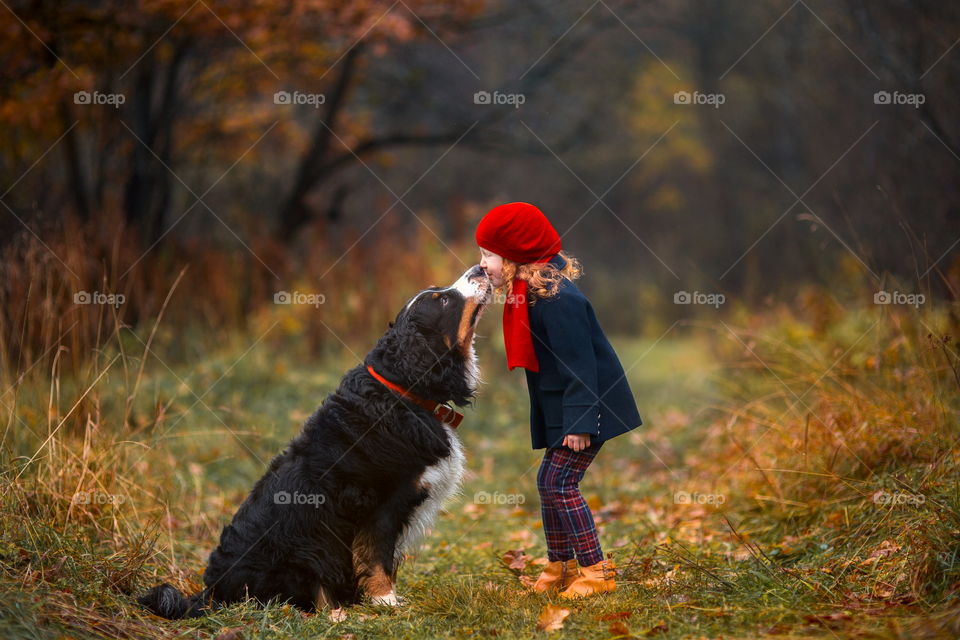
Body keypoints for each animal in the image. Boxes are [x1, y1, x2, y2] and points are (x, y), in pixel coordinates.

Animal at [139, 264, 492, 616]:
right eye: (443, 300)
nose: (480, 268)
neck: (404, 392)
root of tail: (212, 593)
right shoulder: (383, 503)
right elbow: (376, 557)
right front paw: (385, 600)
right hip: (307, 552)